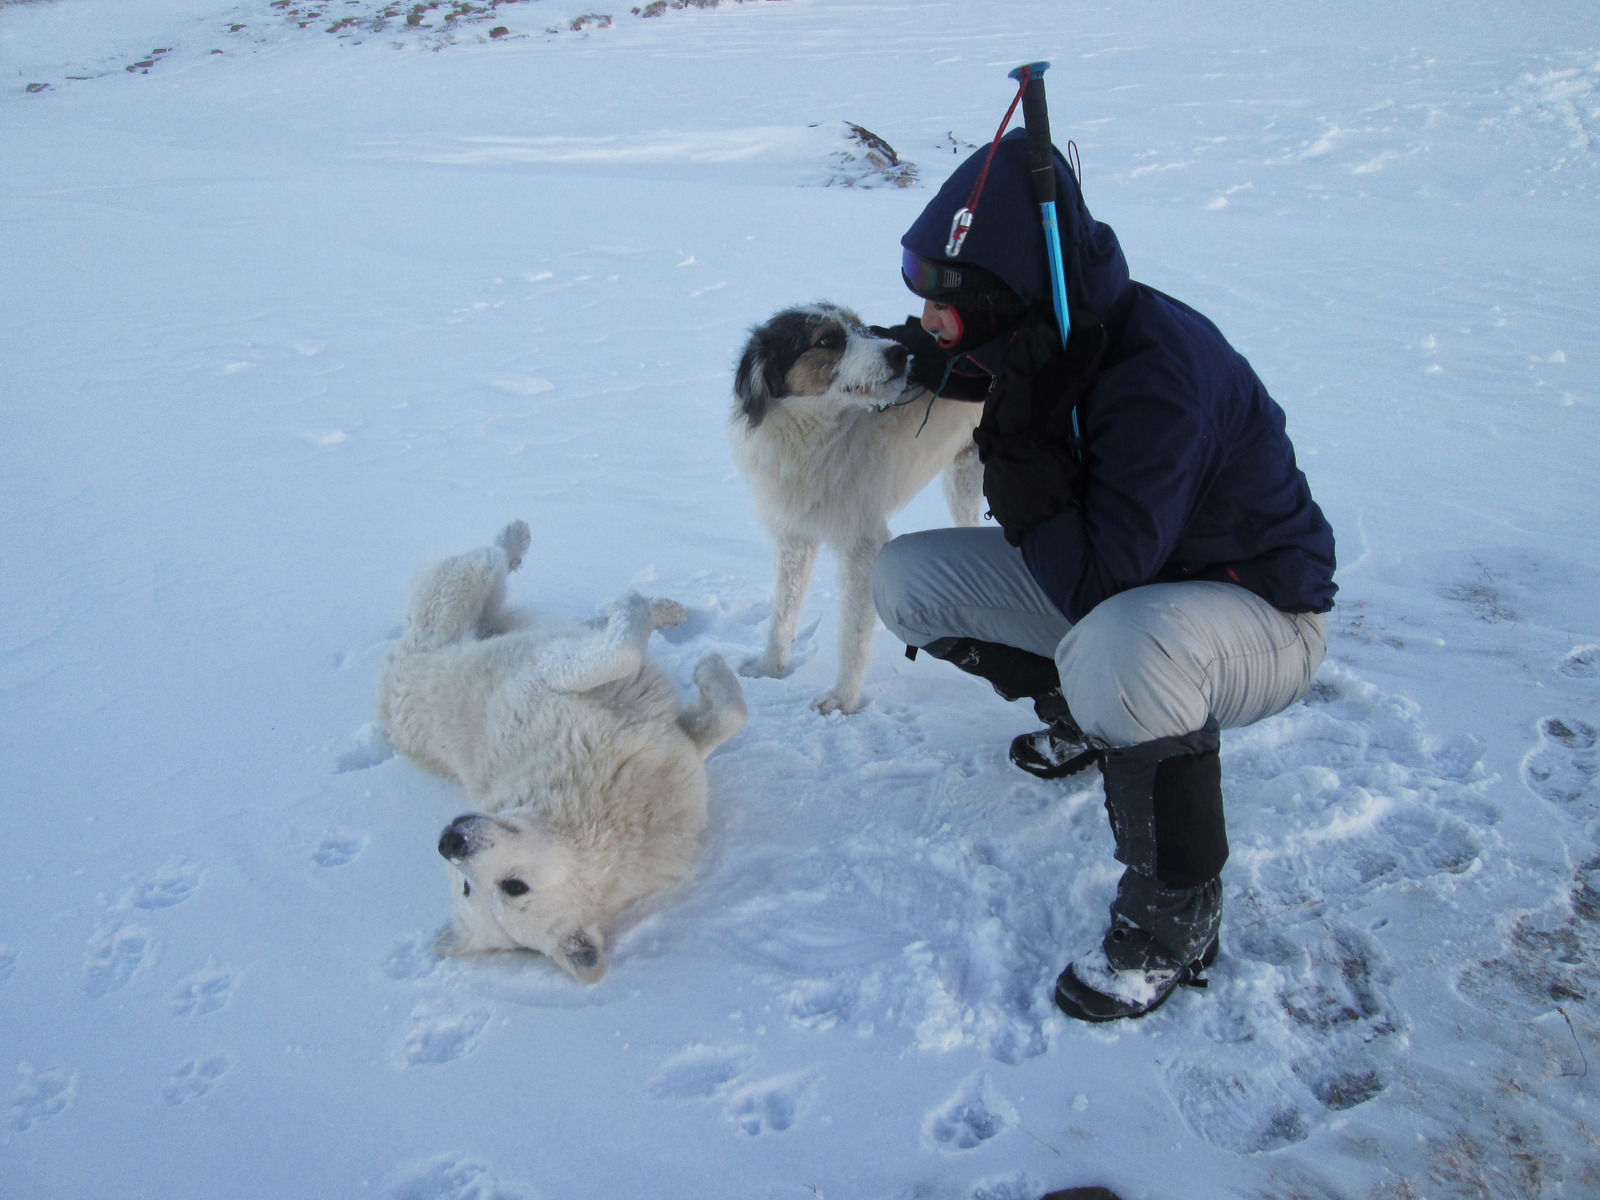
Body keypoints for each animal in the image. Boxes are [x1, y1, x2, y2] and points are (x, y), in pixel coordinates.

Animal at [377, 521, 745, 979]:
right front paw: (688, 650)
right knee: (489, 559)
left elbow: (731, 713)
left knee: (519, 583)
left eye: (511, 887)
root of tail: (386, 703)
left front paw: (703, 663)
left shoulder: (664, 742)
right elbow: (624, 655)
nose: (450, 842)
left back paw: (654, 605)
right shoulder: (555, 673)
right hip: (464, 589)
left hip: (483, 605)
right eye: (471, 887)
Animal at [732, 305, 979, 713]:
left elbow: (853, 633)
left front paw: (841, 701)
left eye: (862, 328)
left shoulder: (862, 548)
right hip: (963, 479)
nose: (900, 352)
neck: (815, 442)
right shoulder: (794, 539)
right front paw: (769, 670)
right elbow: (782, 613)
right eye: (828, 340)